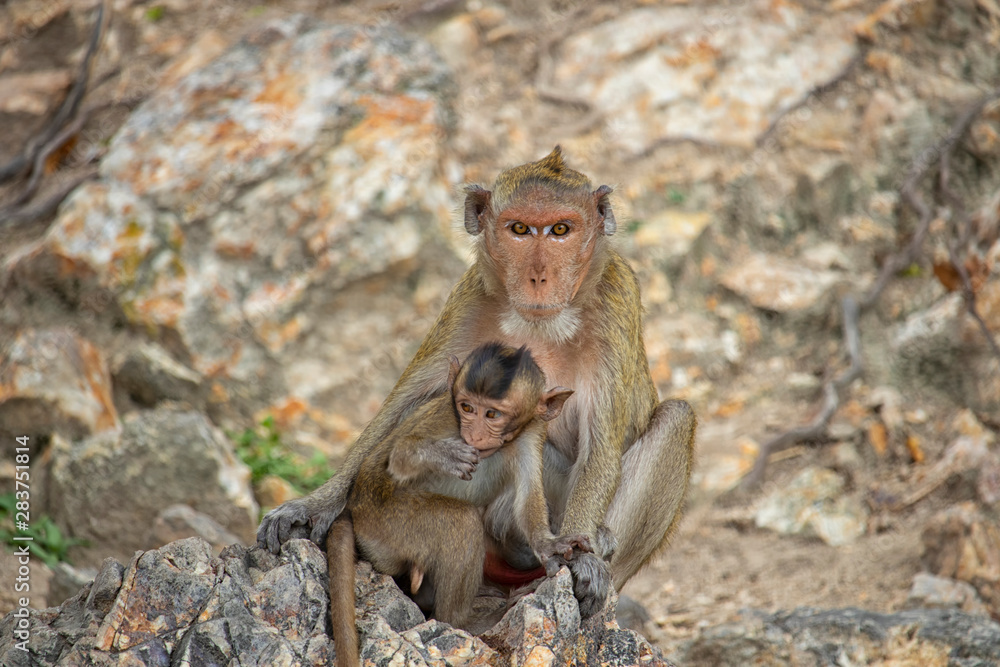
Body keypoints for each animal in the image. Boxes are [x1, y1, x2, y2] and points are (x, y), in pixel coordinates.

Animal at [262, 146, 696, 618]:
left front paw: (583, 558)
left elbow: (600, 446)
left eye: (561, 230)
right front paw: (313, 505)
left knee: (677, 418)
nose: (539, 277)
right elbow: (406, 402)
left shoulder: (617, 305)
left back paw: (590, 552)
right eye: (520, 229)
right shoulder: (469, 299)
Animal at [327, 343, 588, 666]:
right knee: (461, 522)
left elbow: (528, 496)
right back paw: (461, 621)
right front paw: (445, 455)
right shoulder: (446, 416)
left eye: (492, 413)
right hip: (387, 522)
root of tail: (353, 511)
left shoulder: (532, 431)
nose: (473, 434)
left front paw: (547, 544)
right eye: (467, 408)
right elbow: (399, 456)